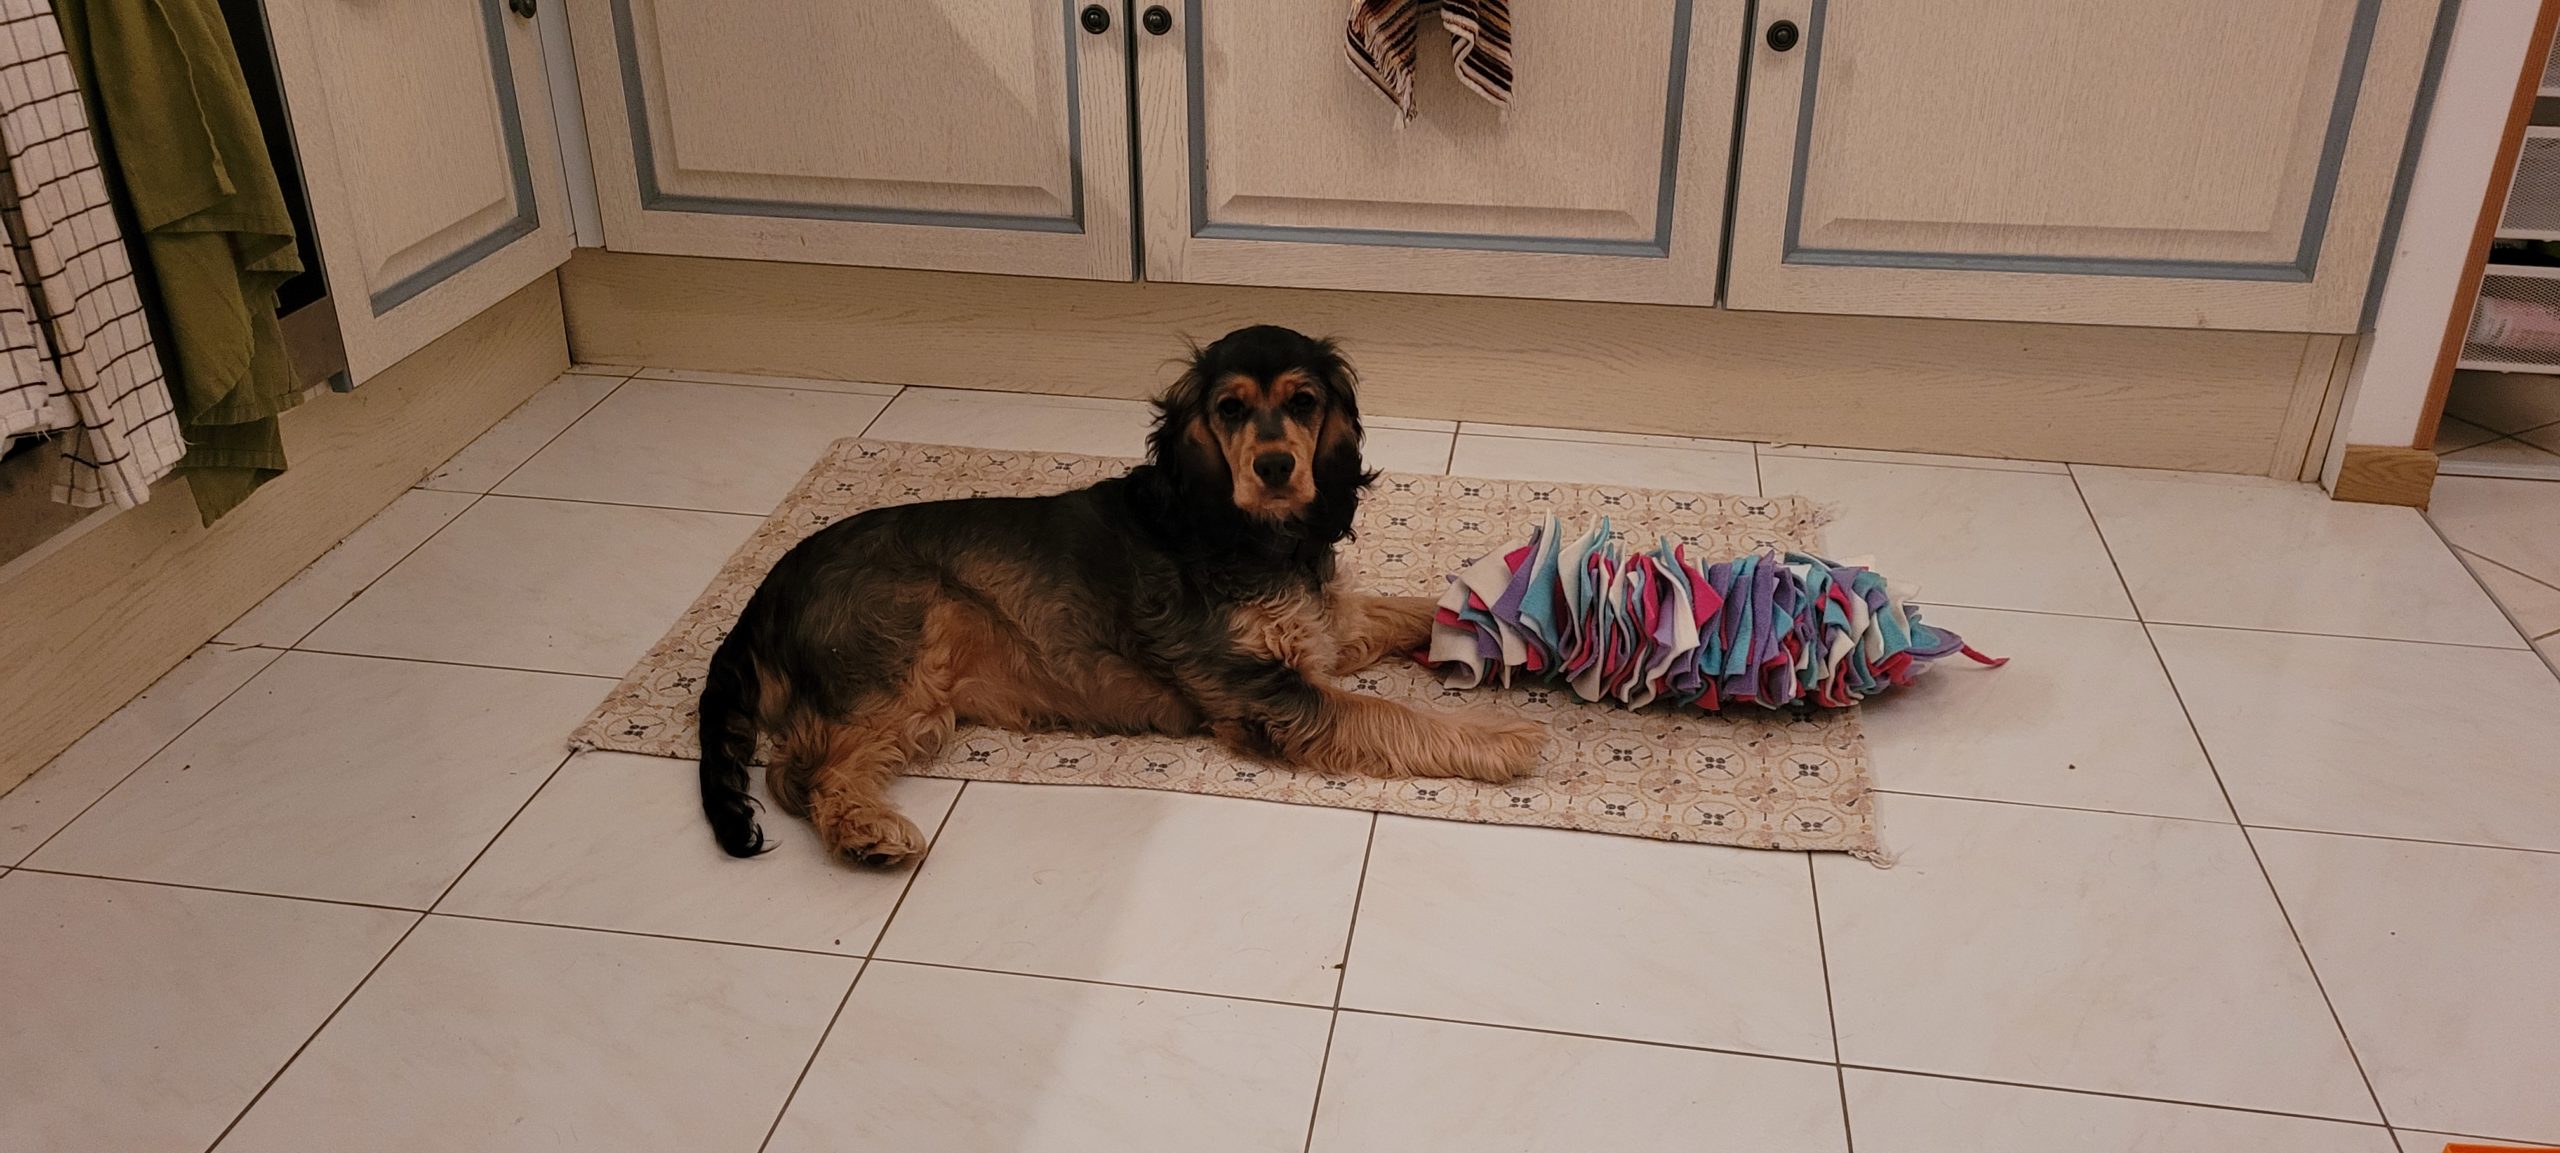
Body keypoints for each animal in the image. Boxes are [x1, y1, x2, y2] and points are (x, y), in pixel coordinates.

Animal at [696, 324, 1536, 866]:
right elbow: (1389, 713)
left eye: (1304, 401)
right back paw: (868, 834)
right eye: (1230, 408)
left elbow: (1414, 609)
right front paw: (1503, 739)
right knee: (800, 774)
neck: (1245, 534)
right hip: (901, 660)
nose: (1273, 466)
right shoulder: (1260, 691)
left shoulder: (1326, 623)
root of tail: (768, 588)